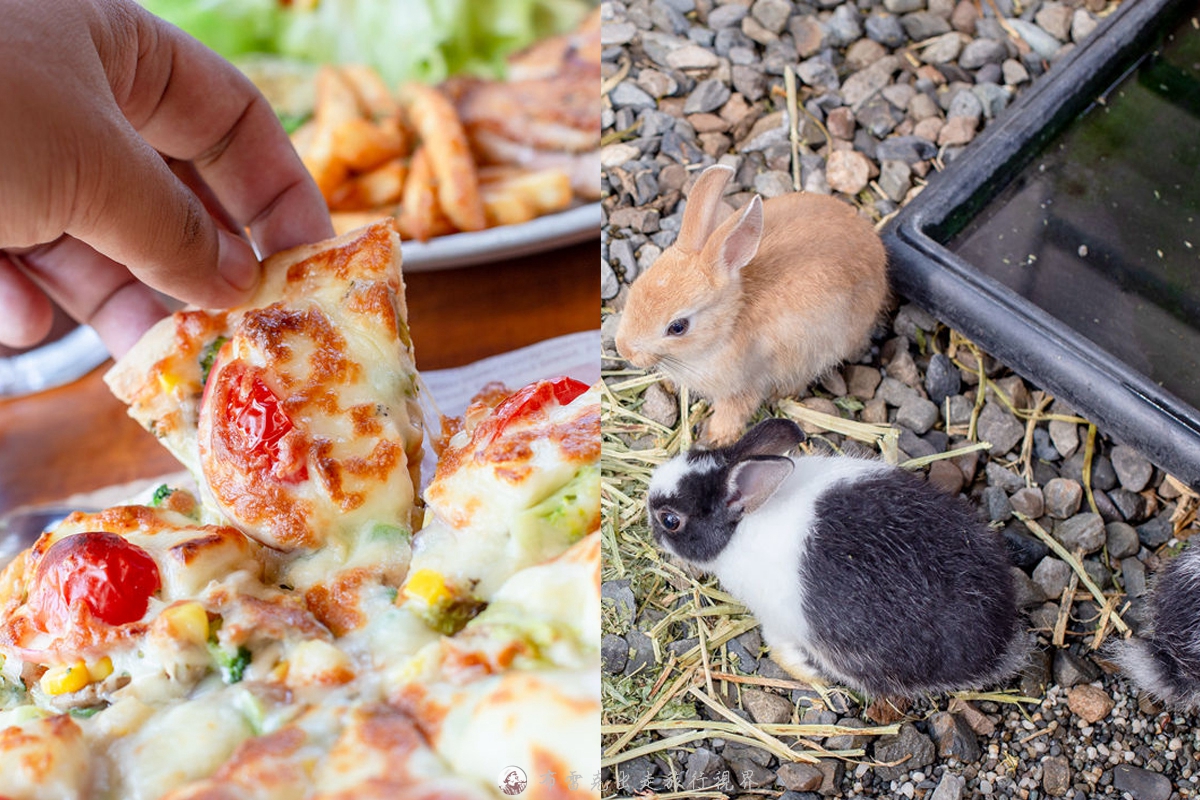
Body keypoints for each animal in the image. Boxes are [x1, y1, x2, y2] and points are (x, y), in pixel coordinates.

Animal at [619, 163, 892, 448]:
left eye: (677, 327)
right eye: (635, 286)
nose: (624, 350)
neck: (729, 322)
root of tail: (876, 250)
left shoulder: (745, 385)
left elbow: (733, 412)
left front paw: (715, 438)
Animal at [652, 419, 1027, 700]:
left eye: (670, 520)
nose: (650, 520)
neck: (741, 524)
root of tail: (1002, 641)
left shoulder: (777, 622)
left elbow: (779, 650)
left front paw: (814, 678)